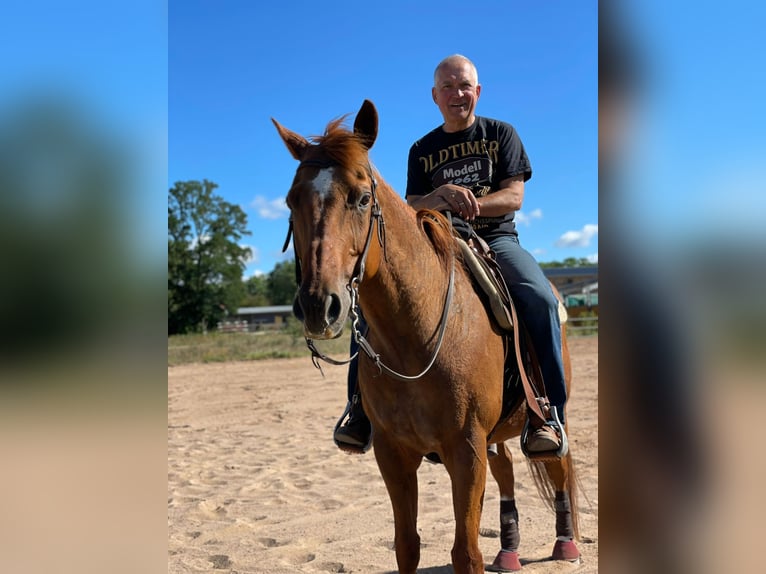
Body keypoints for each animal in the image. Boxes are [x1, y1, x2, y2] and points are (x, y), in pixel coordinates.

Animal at [272, 101, 580, 572]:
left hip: (547, 413)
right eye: (292, 200)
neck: (415, 340)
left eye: (363, 198)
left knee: (558, 462)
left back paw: (565, 543)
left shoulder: (466, 451)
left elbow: (465, 552)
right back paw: (508, 548)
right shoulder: (393, 453)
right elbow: (406, 545)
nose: (318, 306)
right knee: (507, 467)